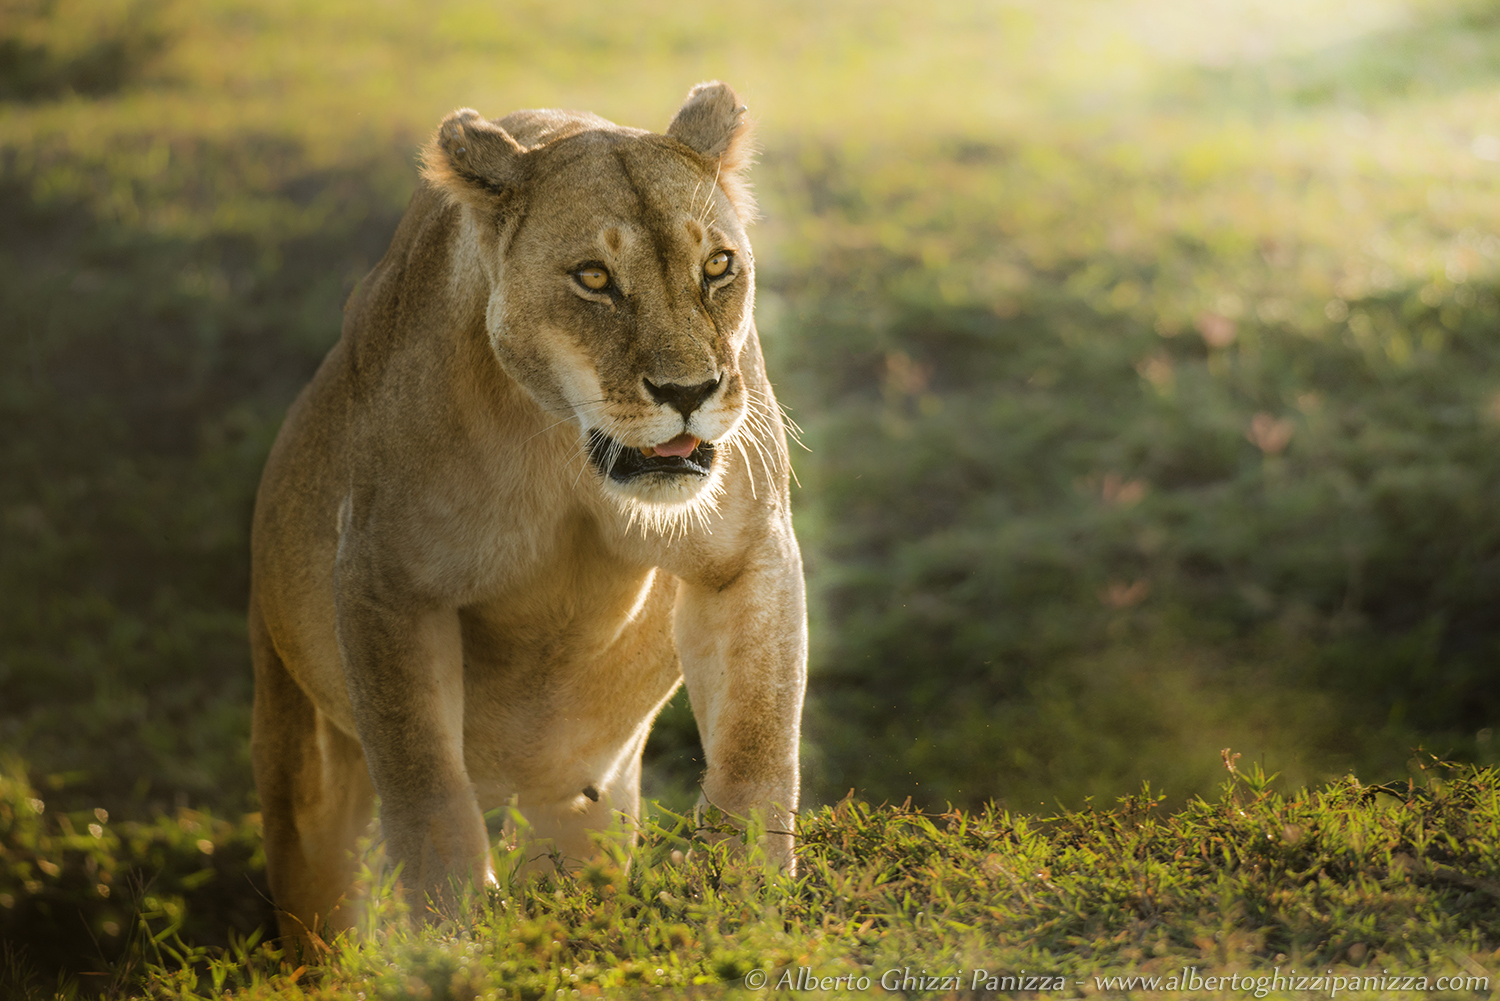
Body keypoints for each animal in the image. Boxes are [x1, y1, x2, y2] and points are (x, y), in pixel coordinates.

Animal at [248, 81, 806, 944]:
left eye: (717, 266)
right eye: (594, 278)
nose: (688, 392)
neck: (564, 447)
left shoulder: (746, 550)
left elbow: (758, 736)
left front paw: (744, 898)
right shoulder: (385, 581)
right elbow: (423, 780)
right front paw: (453, 932)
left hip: (583, 803)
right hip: (301, 761)